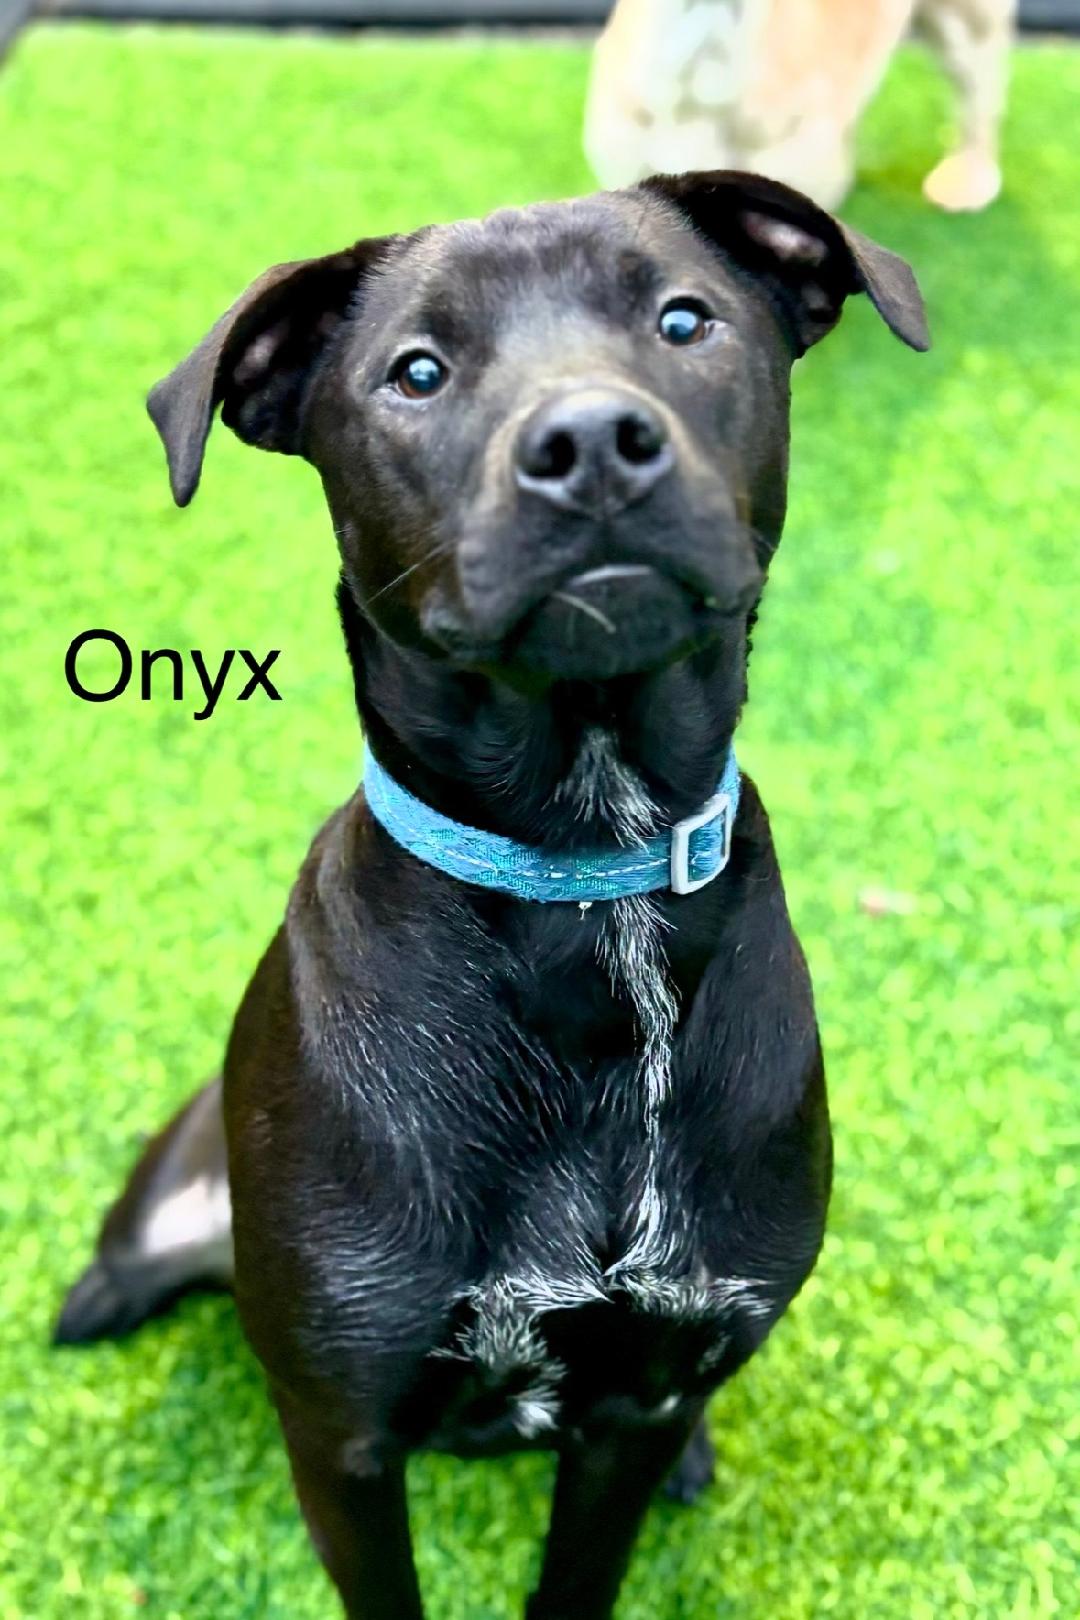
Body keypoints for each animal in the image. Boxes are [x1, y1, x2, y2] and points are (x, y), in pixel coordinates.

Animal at [56, 170, 928, 1618]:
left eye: (684, 318)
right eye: (417, 372)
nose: (590, 441)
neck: (586, 873)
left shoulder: (632, 1407)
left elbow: (583, 1564)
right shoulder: (343, 1434)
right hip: (180, 1199)